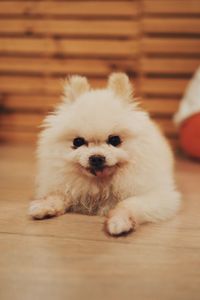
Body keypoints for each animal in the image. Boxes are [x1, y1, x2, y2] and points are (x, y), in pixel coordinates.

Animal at [28, 74, 181, 236]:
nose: (96, 158)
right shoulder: (67, 187)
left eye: (115, 140)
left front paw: (119, 221)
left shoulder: (159, 196)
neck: (100, 184)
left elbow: (127, 204)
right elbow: (56, 196)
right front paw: (44, 206)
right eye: (77, 141)